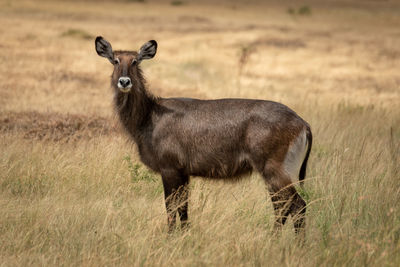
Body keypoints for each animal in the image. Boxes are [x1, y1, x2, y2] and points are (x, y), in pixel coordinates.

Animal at [94, 37, 312, 234]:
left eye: (135, 61)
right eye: (115, 60)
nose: (124, 81)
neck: (149, 115)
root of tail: (302, 122)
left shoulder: (169, 168)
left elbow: (171, 208)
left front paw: (171, 237)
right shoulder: (183, 172)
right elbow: (183, 209)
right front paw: (185, 235)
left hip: (275, 170)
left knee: (296, 206)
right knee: (283, 207)